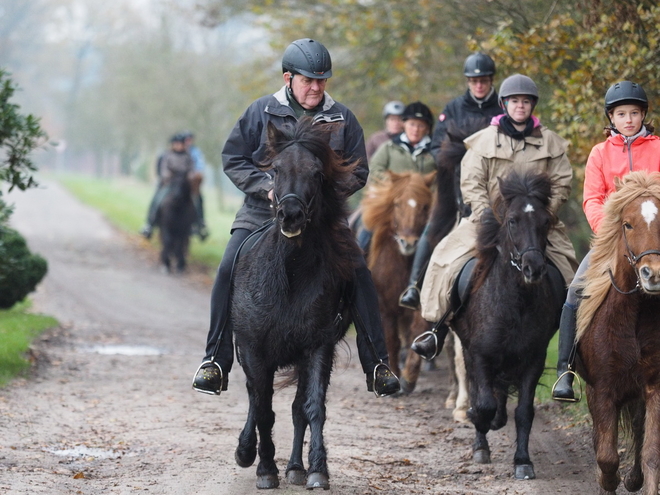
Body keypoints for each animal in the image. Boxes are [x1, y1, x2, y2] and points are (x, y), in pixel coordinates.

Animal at [229, 117, 358, 492]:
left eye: (317, 173)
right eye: (275, 169)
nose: (290, 215)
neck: (289, 275)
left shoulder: (317, 347)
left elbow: (312, 408)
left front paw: (317, 470)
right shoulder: (255, 350)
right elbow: (262, 408)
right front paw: (264, 468)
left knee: (297, 408)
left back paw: (297, 467)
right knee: (255, 398)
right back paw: (247, 451)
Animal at [358, 172, 436, 394]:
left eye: (425, 207)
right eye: (397, 204)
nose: (408, 242)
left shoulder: (419, 302)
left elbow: (417, 331)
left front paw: (409, 376)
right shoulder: (383, 307)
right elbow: (390, 339)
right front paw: (392, 376)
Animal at [452, 170, 564, 480]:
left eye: (546, 221)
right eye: (512, 220)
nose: (533, 268)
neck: (516, 303)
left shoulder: (533, 358)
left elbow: (523, 411)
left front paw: (523, 461)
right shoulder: (480, 354)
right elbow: (483, 403)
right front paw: (480, 438)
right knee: (479, 391)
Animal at [576, 171, 660, 495]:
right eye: (627, 224)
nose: (653, 273)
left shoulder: (653, 386)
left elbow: (651, 453)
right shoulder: (602, 390)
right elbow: (607, 457)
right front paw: (606, 483)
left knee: (637, 427)